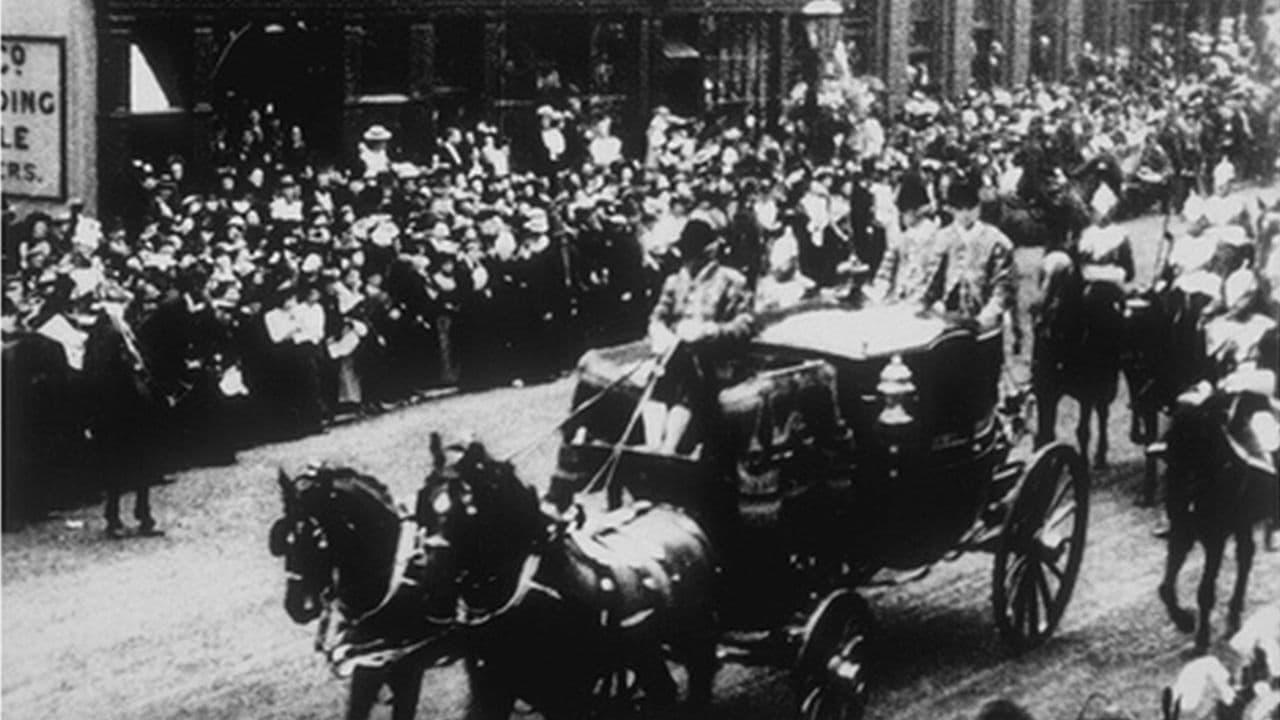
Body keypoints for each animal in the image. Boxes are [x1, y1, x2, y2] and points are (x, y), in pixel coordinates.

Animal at [419, 430, 721, 717]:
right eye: (424, 507)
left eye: (469, 509)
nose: (426, 574)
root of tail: (676, 512)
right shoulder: (492, 692)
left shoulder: (567, 698)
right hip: (647, 652)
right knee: (664, 689)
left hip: (693, 634)